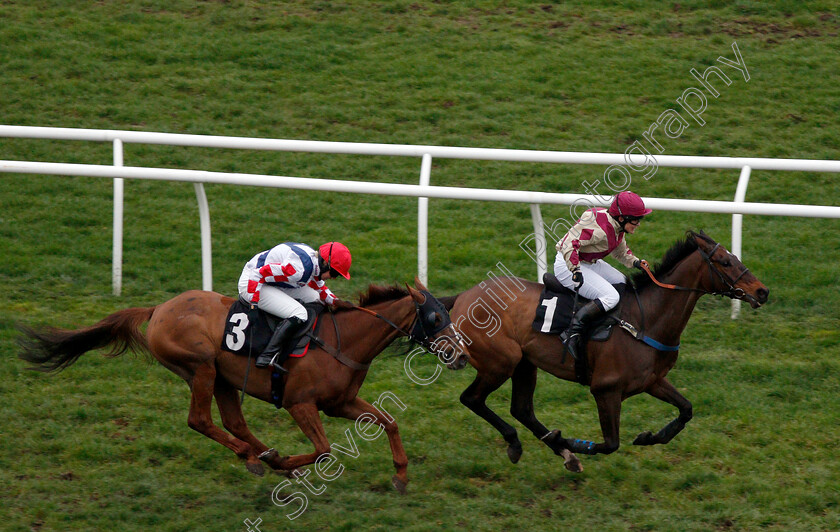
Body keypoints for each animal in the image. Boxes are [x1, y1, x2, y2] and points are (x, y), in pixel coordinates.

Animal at [19, 280, 466, 492]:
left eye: (446, 313)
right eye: (435, 318)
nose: (461, 355)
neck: (343, 340)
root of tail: (159, 308)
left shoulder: (341, 402)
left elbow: (389, 421)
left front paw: (401, 476)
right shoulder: (300, 404)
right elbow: (323, 451)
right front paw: (288, 463)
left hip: (223, 378)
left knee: (234, 423)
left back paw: (262, 456)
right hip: (199, 367)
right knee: (200, 420)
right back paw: (265, 458)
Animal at [446, 231, 768, 472]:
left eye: (735, 257)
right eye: (725, 262)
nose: (762, 291)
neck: (645, 319)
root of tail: (463, 296)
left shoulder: (652, 381)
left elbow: (686, 409)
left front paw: (649, 437)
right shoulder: (605, 389)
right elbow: (611, 443)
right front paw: (573, 442)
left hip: (524, 363)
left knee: (521, 409)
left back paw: (559, 452)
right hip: (500, 362)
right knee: (472, 399)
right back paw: (524, 444)